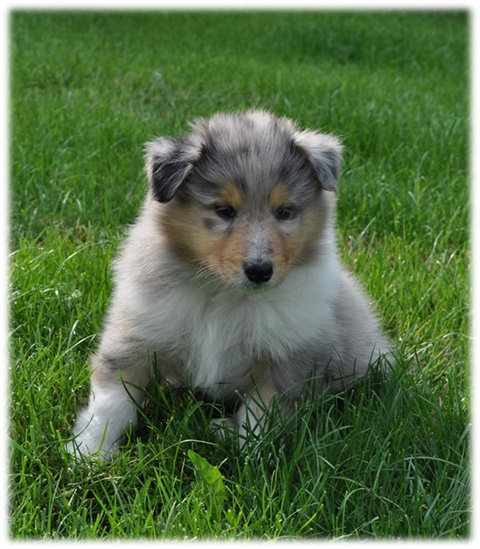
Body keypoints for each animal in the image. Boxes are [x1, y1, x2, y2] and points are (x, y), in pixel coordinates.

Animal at [67, 110, 392, 460]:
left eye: (284, 212)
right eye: (224, 210)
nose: (260, 271)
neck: (224, 293)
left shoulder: (286, 357)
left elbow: (261, 414)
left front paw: (246, 452)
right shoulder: (138, 333)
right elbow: (112, 400)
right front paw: (89, 452)